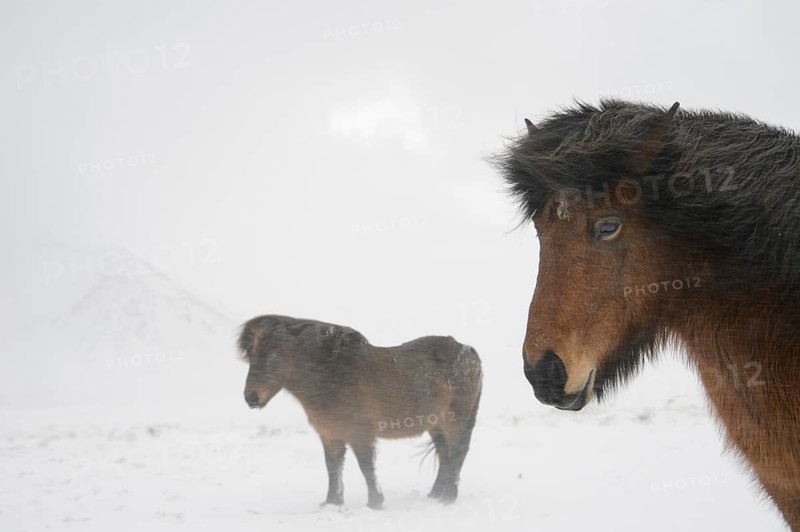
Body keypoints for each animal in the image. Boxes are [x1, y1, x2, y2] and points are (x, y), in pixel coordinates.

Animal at [239, 314, 482, 508]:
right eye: (250, 355)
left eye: (274, 353)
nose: (251, 397)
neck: (332, 376)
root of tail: (469, 351)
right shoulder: (330, 435)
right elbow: (332, 468)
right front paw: (332, 503)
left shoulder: (360, 434)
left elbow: (366, 467)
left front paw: (375, 503)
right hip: (436, 424)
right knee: (445, 453)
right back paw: (435, 494)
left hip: (456, 420)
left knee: (457, 452)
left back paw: (448, 498)